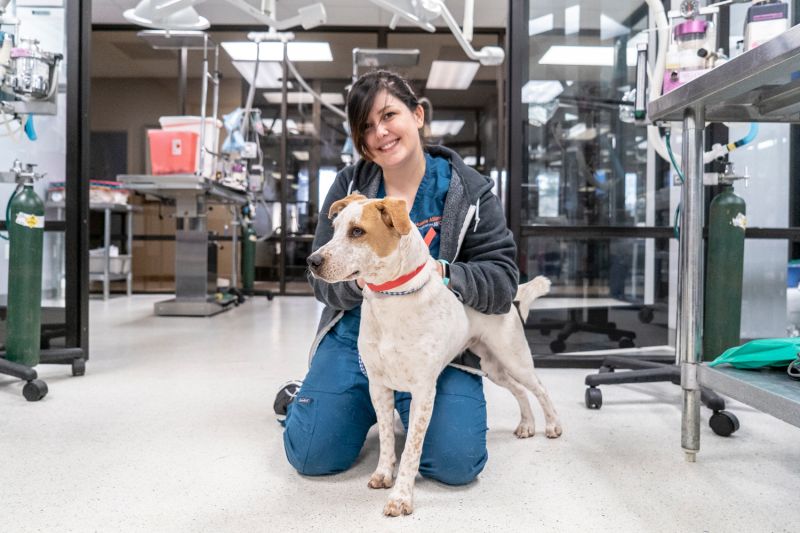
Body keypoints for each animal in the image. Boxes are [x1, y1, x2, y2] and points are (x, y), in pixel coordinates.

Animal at [306, 193, 564, 512]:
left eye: (357, 231)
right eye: (334, 229)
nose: (312, 261)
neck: (391, 297)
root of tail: (512, 299)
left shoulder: (423, 392)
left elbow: (412, 450)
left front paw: (401, 497)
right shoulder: (378, 386)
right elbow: (388, 438)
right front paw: (383, 473)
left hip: (513, 358)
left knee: (538, 387)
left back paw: (552, 425)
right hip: (492, 366)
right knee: (518, 390)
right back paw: (527, 424)